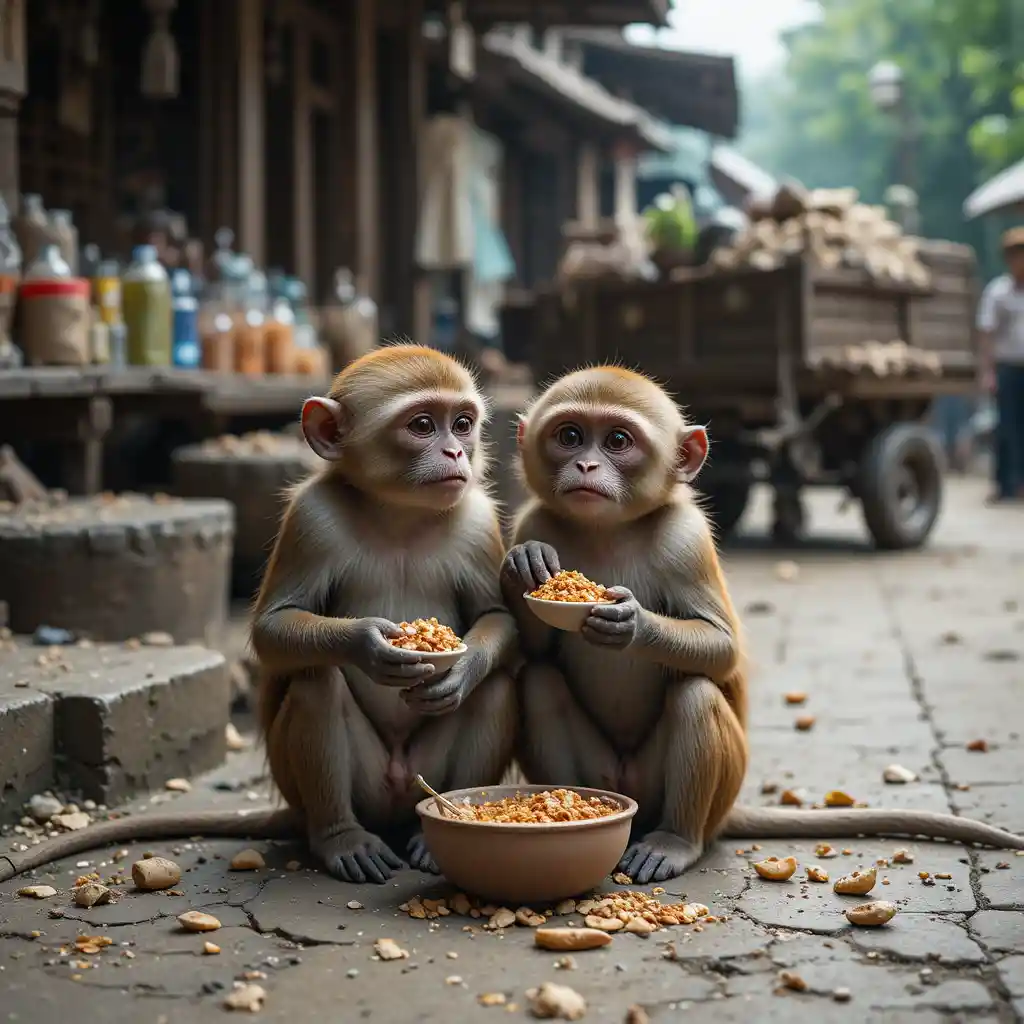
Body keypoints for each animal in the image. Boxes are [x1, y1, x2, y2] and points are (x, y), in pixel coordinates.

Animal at [501, 365, 1024, 885]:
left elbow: (722, 647)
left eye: (616, 440)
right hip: (611, 775)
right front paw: (525, 566)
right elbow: (535, 648)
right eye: (570, 436)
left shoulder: (685, 539)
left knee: (695, 696)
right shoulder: (533, 521)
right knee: (539, 683)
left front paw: (628, 622)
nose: (586, 467)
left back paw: (675, 841)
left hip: (710, 792)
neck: (607, 530)